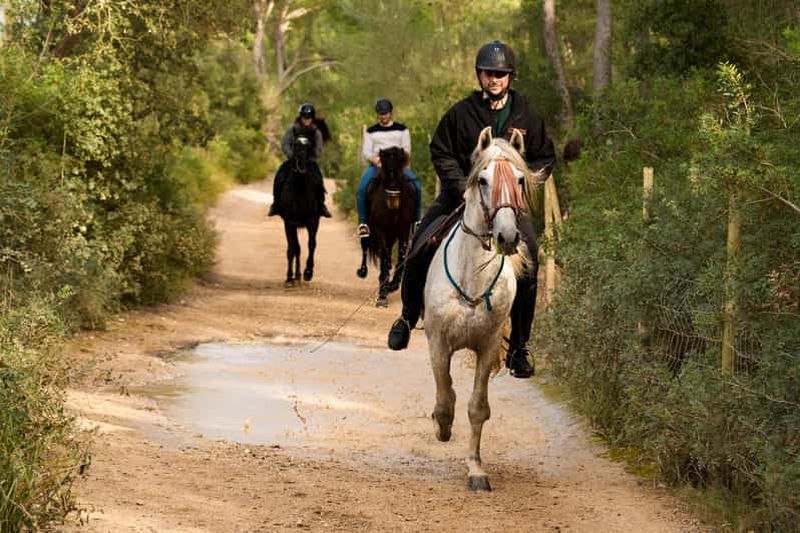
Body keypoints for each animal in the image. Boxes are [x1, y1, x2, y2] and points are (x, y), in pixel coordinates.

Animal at [276, 126, 321, 288]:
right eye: (295, 145)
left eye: (309, 146)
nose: (301, 166)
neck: (300, 188)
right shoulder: (289, 222)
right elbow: (292, 249)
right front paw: (290, 278)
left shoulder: (313, 221)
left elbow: (311, 245)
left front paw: (308, 273)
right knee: (296, 248)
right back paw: (295, 276)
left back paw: (300, 275)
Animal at [356, 146, 418, 307]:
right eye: (385, 175)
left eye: (400, 175)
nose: (393, 203)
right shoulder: (380, 230)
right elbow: (383, 256)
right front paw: (382, 294)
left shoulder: (403, 230)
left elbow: (402, 255)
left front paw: (393, 285)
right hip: (371, 233)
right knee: (366, 248)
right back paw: (363, 272)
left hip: (392, 234)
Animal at [423, 127, 539, 491]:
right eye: (483, 180)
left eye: (520, 179)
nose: (507, 237)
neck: (472, 276)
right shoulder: (438, 344)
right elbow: (445, 398)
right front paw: (441, 426)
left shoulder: (487, 347)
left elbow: (476, 407)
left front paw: (475, 469)